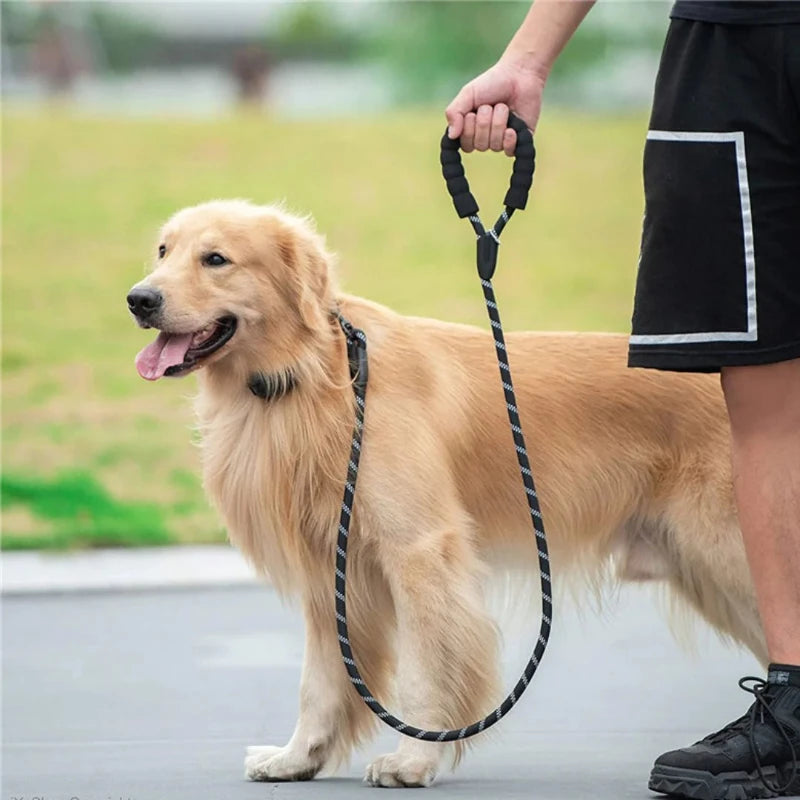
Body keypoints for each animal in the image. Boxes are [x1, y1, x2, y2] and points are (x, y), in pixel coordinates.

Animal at [125, 200, 764, 788]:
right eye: (163, 251)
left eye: (216, 259)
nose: (138, 300)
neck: (314, 374)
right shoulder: (330, 569)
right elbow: (321, 680)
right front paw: (297, 757)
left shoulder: (419, 552)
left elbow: (426, 668)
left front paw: (412, 761)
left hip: (729, 555)